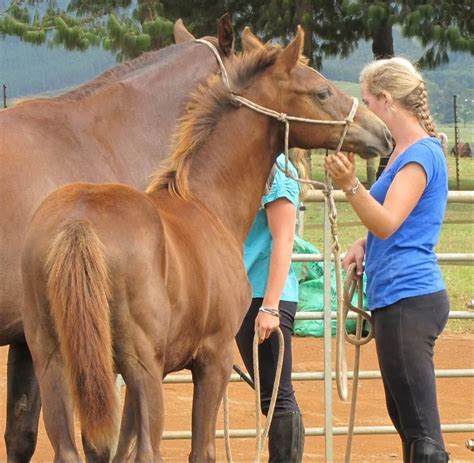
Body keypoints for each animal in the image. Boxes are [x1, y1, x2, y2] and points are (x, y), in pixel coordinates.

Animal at [21, 27, 392, 462]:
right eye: (321, 92)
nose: (383, 134)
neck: (205, 203)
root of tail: (79, 221)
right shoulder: (214, 359)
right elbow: (202, 449)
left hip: (53, 364)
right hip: (141, 369)